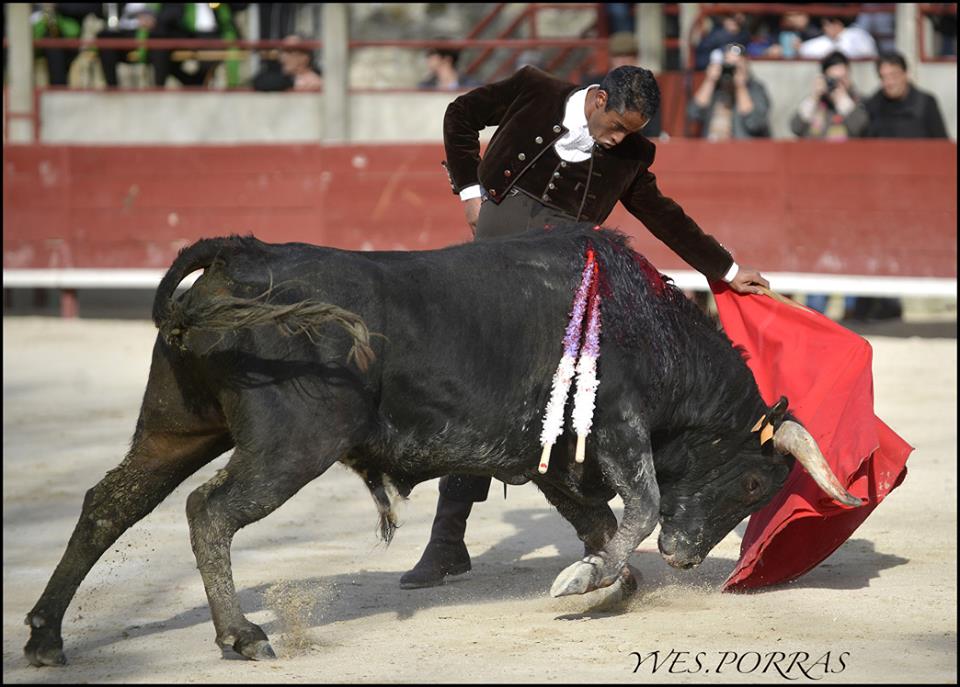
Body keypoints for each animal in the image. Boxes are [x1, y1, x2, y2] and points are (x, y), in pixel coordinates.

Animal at [24, 226, 864, 668]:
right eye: (756, 485)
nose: (687, 560)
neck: (644, 325)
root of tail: (240, 255)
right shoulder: (617, 428)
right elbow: (641, 505)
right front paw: (590, 579)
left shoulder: (558, 460)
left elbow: (602, 522)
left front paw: (603, 583)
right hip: (289, 446)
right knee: (210, 511)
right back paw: (241, 635)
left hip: (177, 425)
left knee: (110, 502)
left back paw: (45, 636)